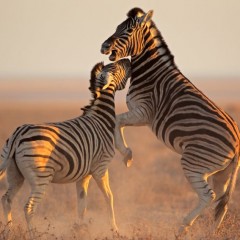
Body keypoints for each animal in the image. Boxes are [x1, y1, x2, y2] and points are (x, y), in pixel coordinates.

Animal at [0, 58, 131, 238]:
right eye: (116, 67)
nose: (128, 60)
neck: (101, 118)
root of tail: (17, 135)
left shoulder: (84, 174)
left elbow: (82, 203)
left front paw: (80, 230)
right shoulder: (101, 167)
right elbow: (108, 197)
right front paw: (115, 230)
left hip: (15, 173)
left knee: (6, 200)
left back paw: (9, 232)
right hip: (41, 178)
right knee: (28, 207)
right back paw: (33, 234)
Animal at [101, 7, 240, 236]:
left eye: (127, 30)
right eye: (117, 27)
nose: (103, 46)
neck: (150, 72)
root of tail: (237, 142)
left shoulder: (144, 112)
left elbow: (117, 120)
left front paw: (127, 154)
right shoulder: (142, 115)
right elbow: (118, 122)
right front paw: (127, 155)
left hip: (194, 162)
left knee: (208, 196)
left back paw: (183, 226)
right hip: (223, 173)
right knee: (221, 202)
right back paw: (210, 233)